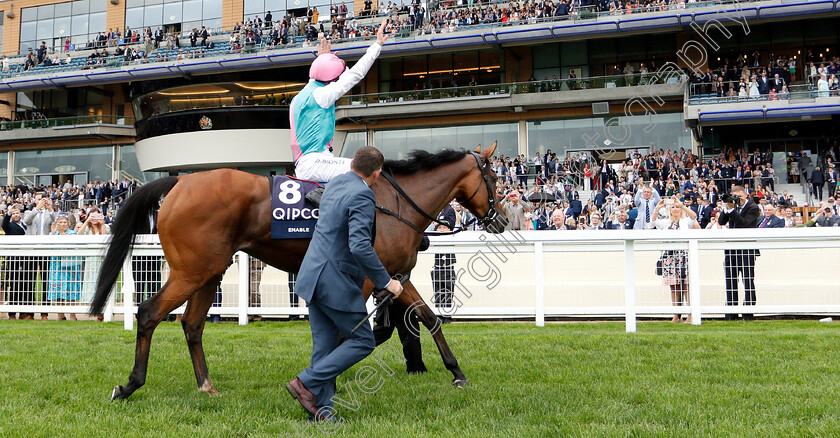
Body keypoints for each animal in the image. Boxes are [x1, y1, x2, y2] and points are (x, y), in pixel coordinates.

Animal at [90, 143, 506, 400]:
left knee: (192, 324)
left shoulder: (395, 276)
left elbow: (428, 318)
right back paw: (129, 385)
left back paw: (206, 386)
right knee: (150, 313)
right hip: (192, 270)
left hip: (209, 271)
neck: (395, 203)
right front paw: (323, 380)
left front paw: (456, 372)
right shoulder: (365, 277)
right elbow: (348, 331)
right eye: (493, 179)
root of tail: (180, 180)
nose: (500, 219)